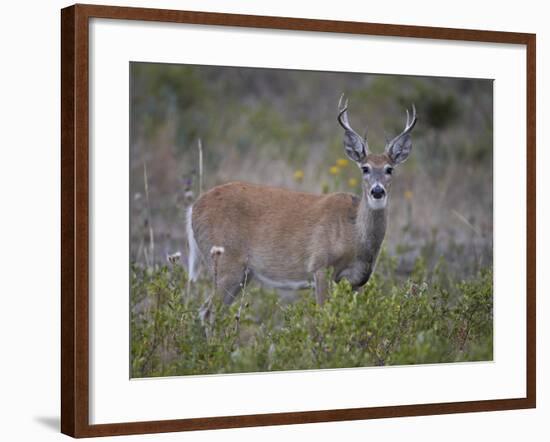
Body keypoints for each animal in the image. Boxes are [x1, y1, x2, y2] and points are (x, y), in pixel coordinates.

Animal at [187, 96, 418, 310]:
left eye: (389, 169)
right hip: (225, 261)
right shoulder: (320, 265)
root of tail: (193, 208)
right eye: (365, 168)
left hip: (242, 273)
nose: (377, 191)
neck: (354, 235)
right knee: (207, 311)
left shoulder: (358, 280)